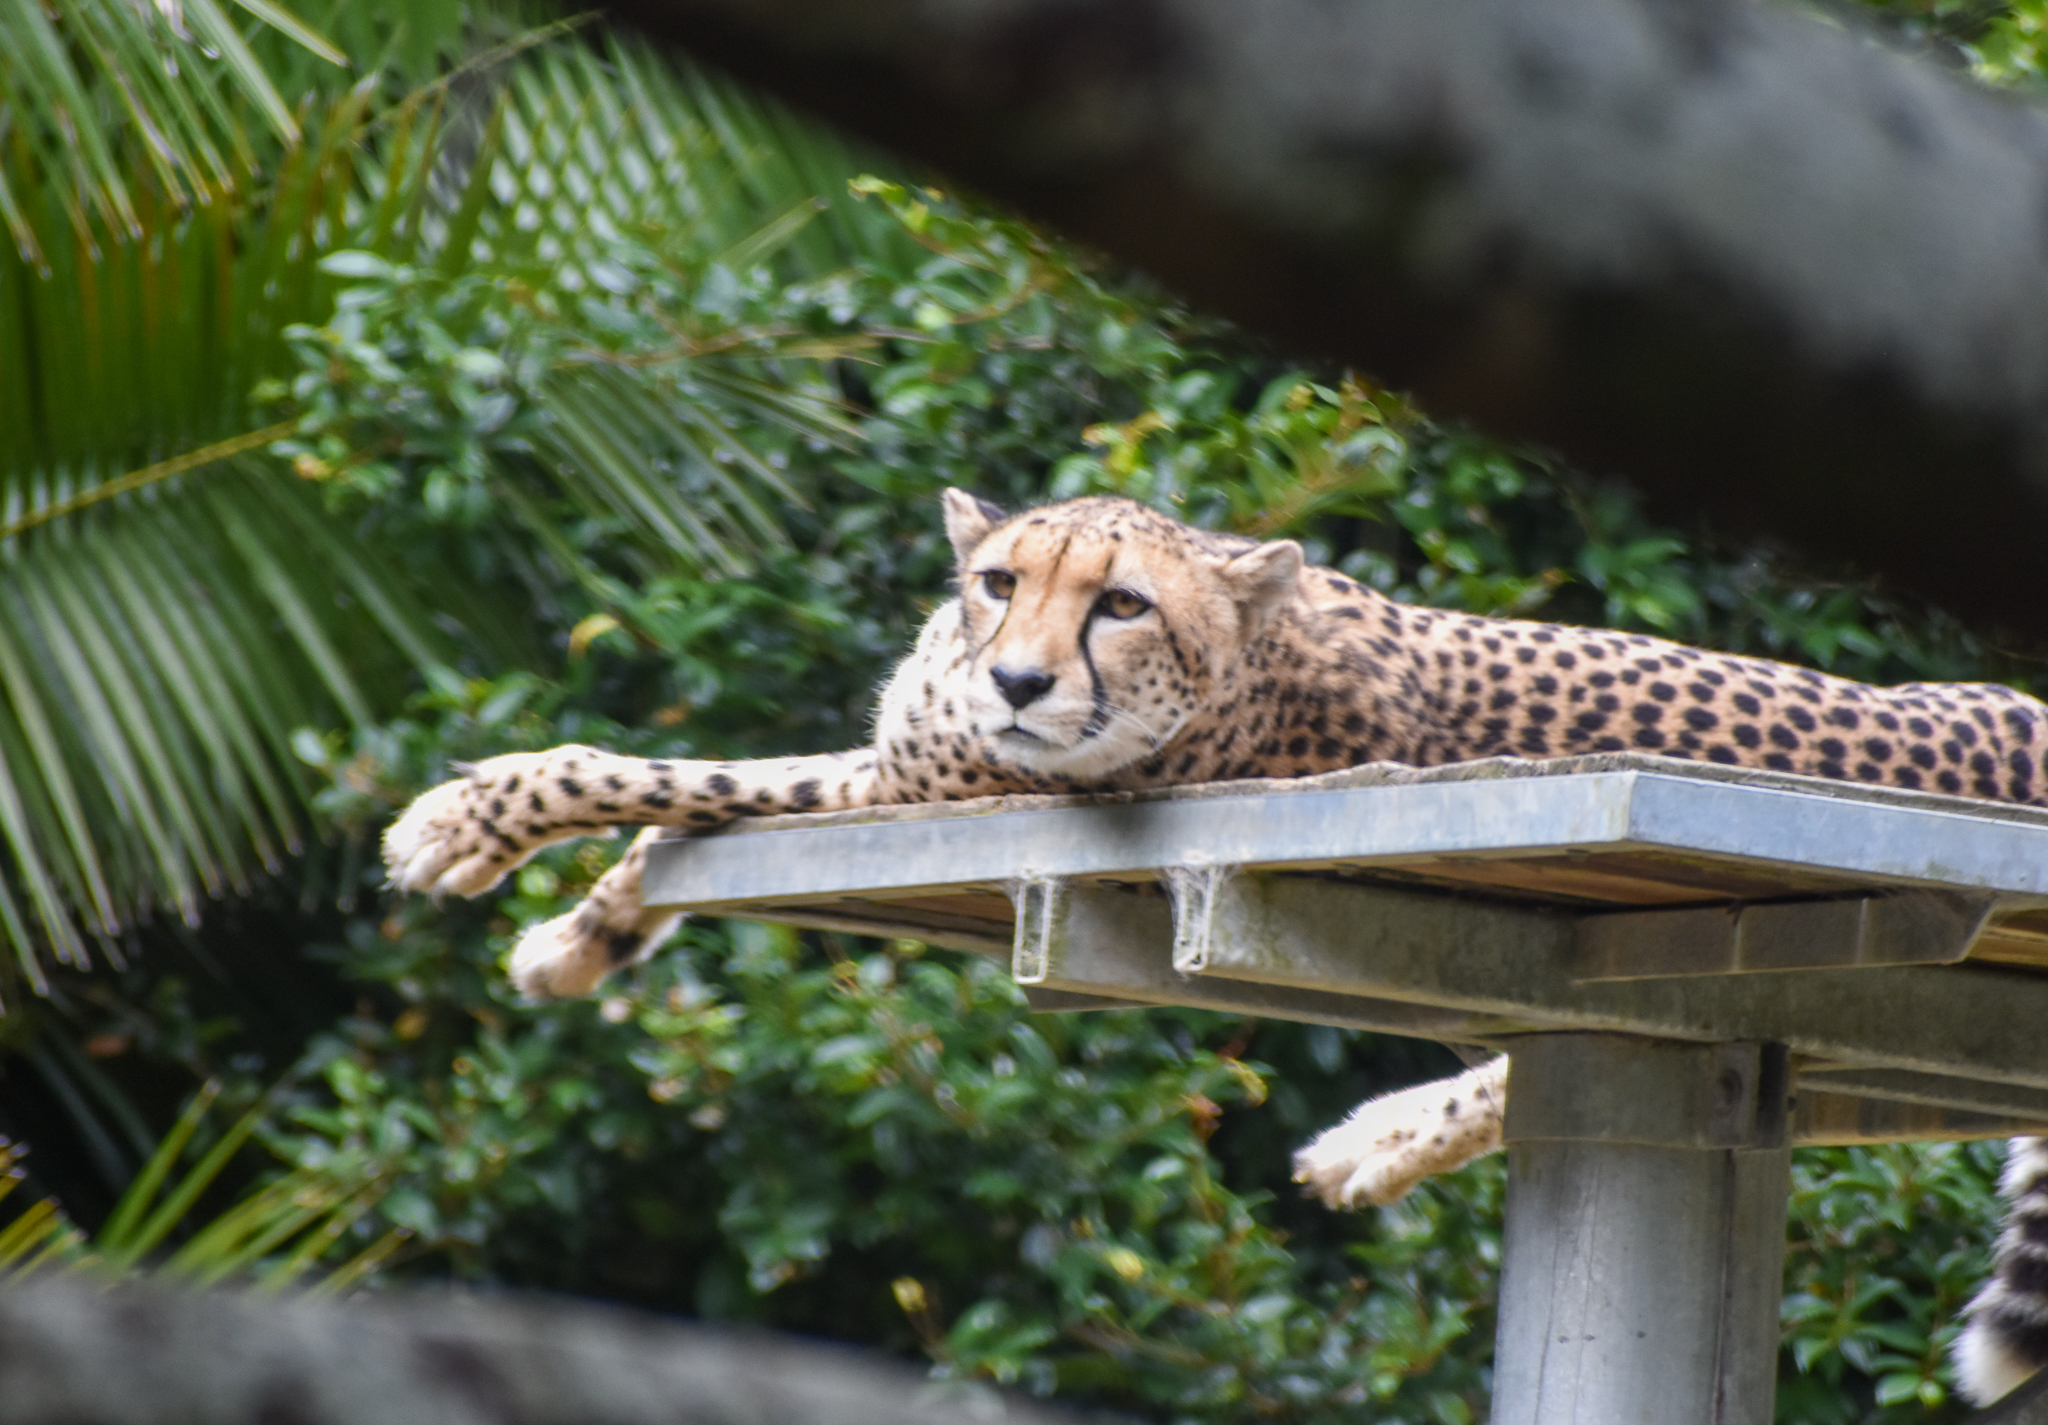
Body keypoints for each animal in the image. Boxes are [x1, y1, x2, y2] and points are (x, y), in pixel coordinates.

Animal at [384, 487, 2048, 1404]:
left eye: (1118, 603)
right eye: (1002, 581)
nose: (1016, 680)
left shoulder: (926, 784)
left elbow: (667, 783)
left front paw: (467, 823)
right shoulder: (904, 762)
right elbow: (682, 833)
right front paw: (577, 941)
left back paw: (1381, 1134)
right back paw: (1385, 1136)